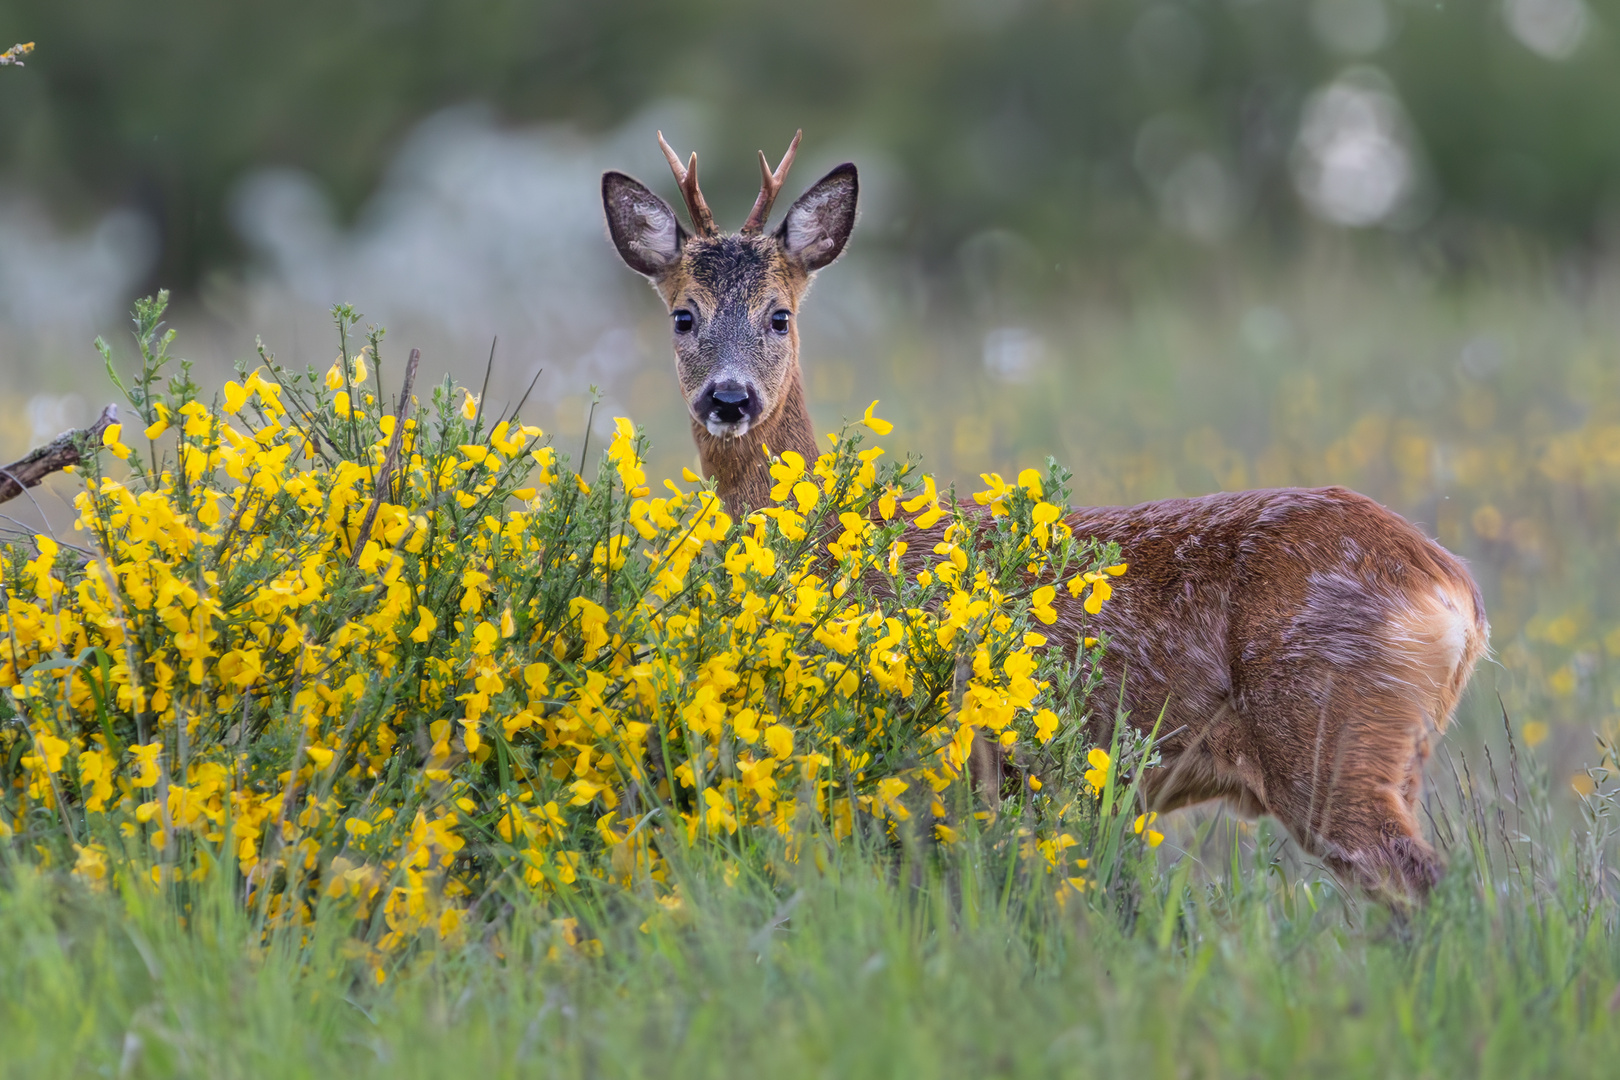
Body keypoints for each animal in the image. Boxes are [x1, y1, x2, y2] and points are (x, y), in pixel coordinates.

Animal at [602, 131, 1483, 900]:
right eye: (683, 315)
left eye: (779, 316)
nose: (729, 398)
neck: (835, 545)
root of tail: (1455, 594)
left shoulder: (927, 749)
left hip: (1328, 730)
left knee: (1433, 887)